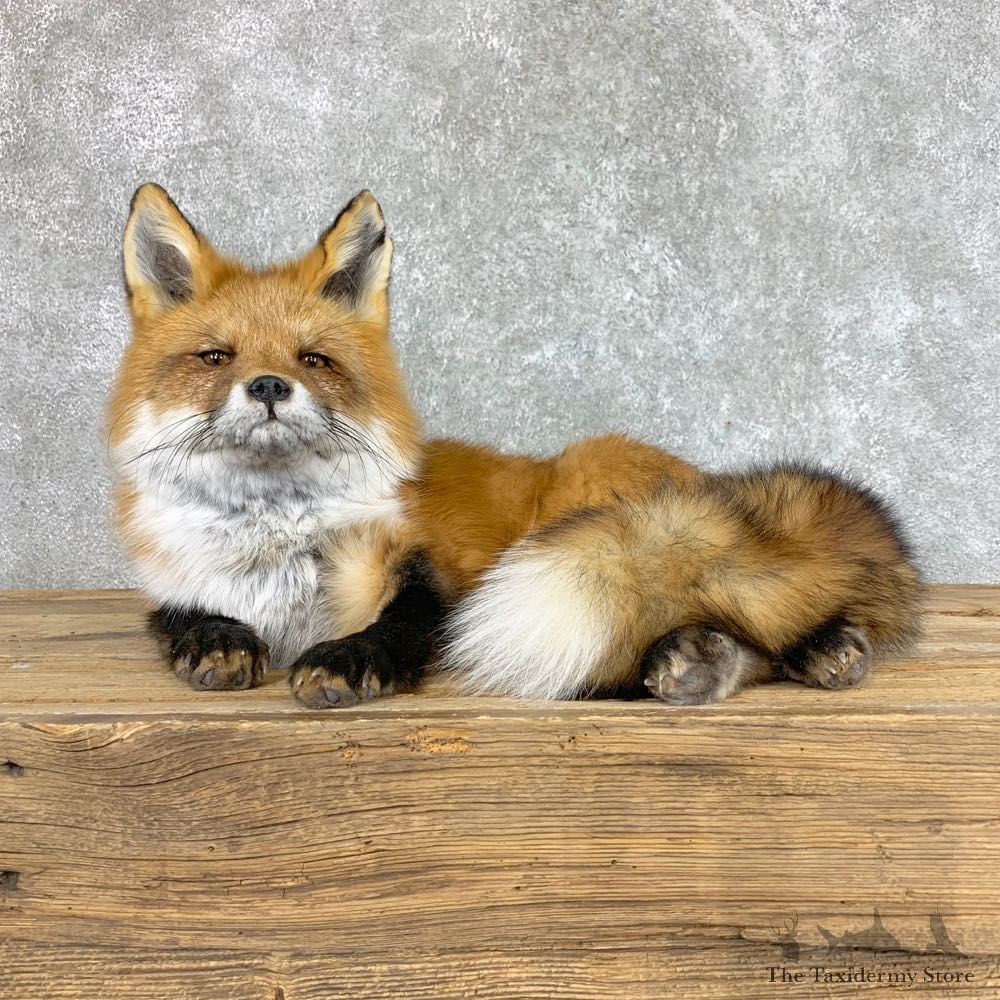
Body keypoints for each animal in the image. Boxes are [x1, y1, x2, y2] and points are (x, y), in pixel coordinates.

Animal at [108, 184, 923, 710]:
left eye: (315, 360)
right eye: (216, 358)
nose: (271, 387)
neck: (278, 544)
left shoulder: (435, 573)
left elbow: (399, 622)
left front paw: (352, 657)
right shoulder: (177, 583)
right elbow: (177, 619)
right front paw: (215, 642)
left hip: (586, 512)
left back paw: (810, 647)